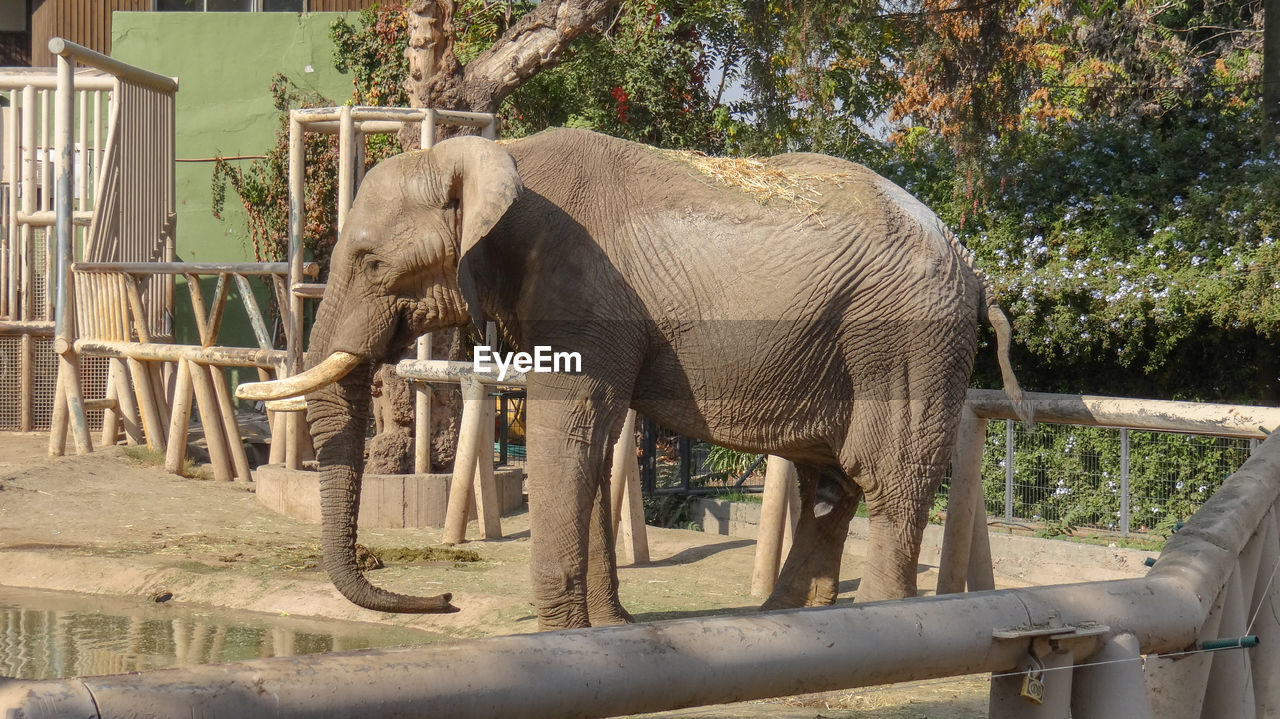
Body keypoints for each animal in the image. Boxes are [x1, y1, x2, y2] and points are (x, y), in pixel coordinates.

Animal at [238, 127, 1029, 626]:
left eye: (370, 261)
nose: (444, 599)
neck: (501, 154)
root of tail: (974, 267)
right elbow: (590, 442)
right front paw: (606, 628)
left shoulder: (581, 291)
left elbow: (567, 429)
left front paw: (560, 632)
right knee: (829, 482)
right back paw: (779, 619)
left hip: (904, 337)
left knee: (887, 476)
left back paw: (876, 626)